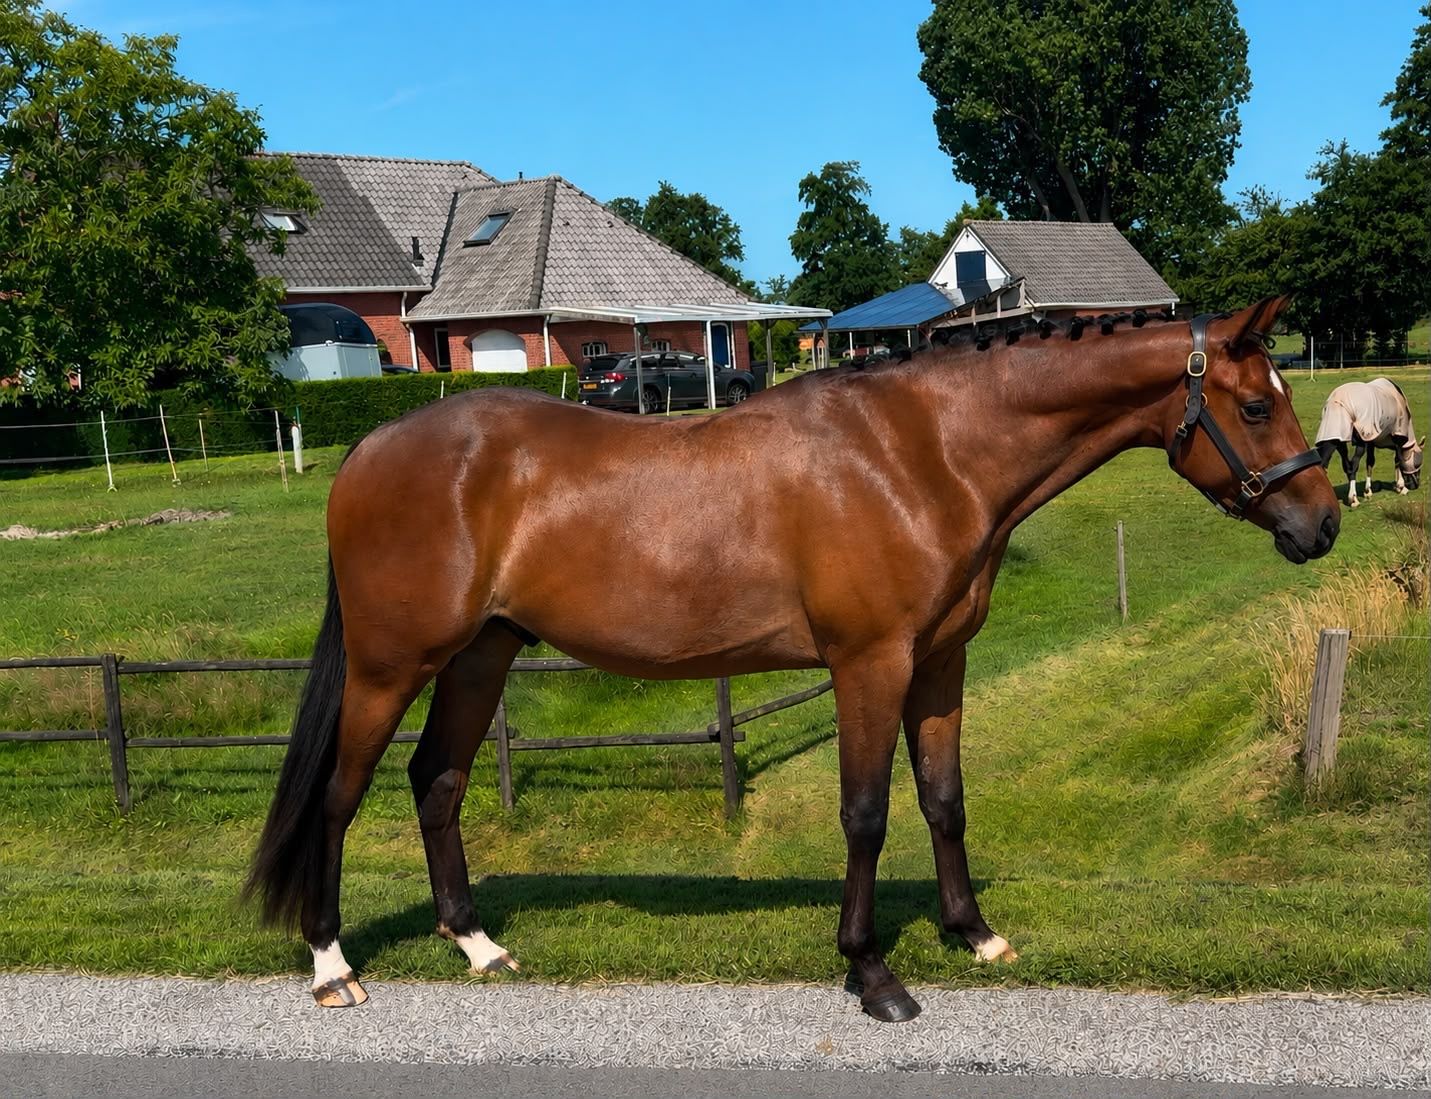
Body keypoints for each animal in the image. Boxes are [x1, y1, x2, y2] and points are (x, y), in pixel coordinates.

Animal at [247, 296, 1337, 1023]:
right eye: (1253, 408)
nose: (1321, 524)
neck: (924, 452)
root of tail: (368, 448)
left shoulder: (939, 665)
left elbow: (944, 798)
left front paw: (972, 930)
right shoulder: (869, 663)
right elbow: (866, 813)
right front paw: (872, 972)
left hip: (482, 656)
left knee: (438, 780)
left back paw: (477, 943)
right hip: (389, 667)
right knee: (340, 796)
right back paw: (332, 965)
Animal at [1314, 377, 1424, 506]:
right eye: (1418, 462)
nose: (1415, 485)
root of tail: (1335, 401)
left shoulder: (1371, 440)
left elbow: (1370, 462)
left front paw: (1368, 491)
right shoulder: (1398, 437)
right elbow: (1398, 460)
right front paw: (1401, 487)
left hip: (1337, 437)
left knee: (1340, 464)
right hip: (1358, 440)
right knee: (1352, 465)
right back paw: (1353, 499)